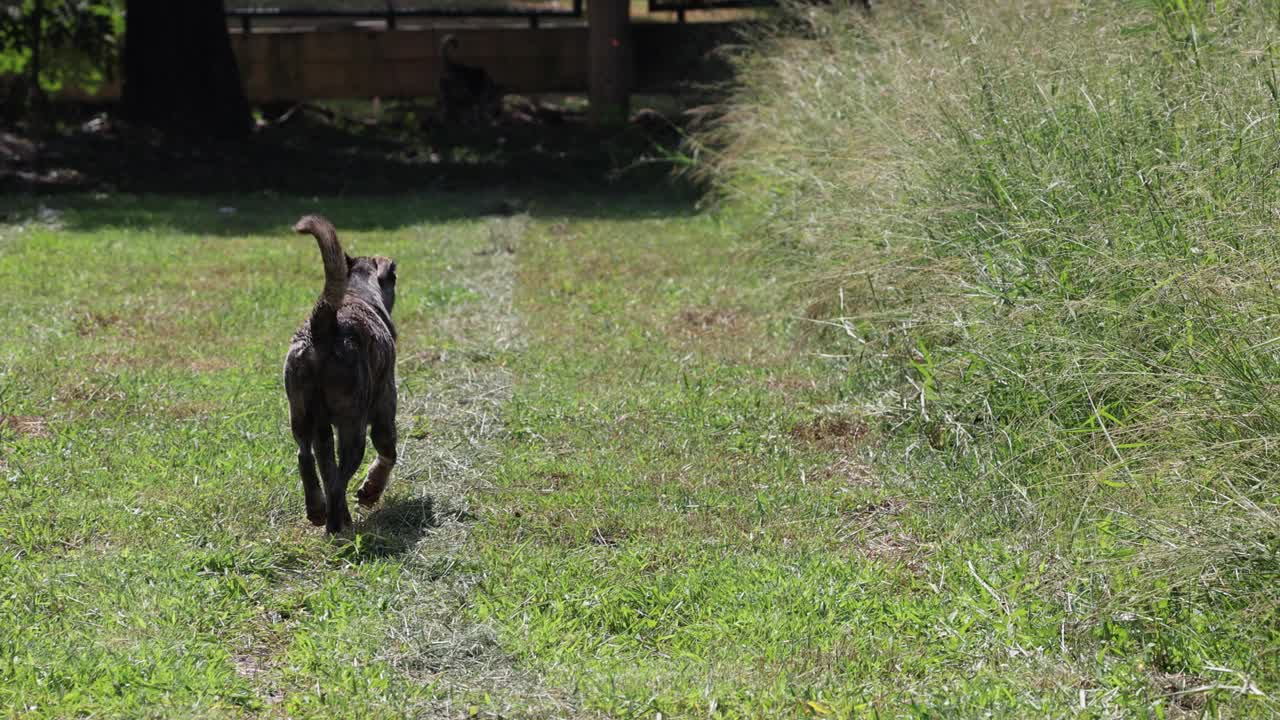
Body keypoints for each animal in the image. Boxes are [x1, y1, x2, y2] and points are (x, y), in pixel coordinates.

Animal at [285, 215, 394, 530]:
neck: (357, 293)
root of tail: (325, 324)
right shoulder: (385, 407)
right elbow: (388, 453)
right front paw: (370, 491)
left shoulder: (323, 431)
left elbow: (326, 467)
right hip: (352, 424)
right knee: (339, 480)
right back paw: (335, 524)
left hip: (301, 413)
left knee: (307, 459)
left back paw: (319, 511)